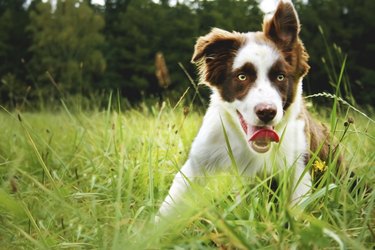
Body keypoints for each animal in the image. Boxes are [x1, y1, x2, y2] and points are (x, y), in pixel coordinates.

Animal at [157, 0, 334, 219]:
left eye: (280, 77)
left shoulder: (299, 166)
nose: (267, 112)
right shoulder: (198, 161)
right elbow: (170, 205)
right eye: (242, 77)